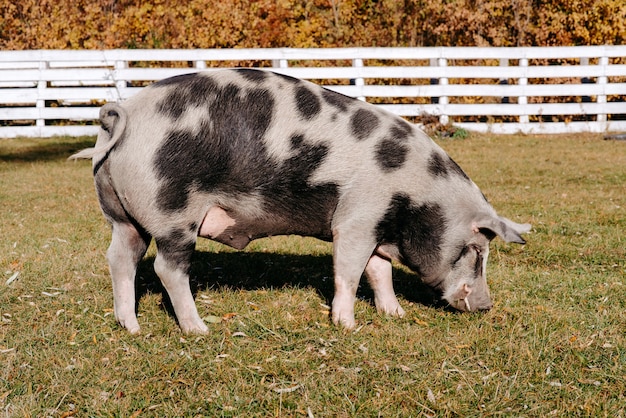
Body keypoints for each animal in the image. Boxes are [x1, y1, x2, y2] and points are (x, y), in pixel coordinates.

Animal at [69, 69, 528, 336]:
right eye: (476, 251)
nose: (486, 306)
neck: (415, 194)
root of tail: (122, 115)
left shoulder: (376, 226)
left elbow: (379, 272)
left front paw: (394, 315)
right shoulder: (355, 219)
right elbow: (349, 273)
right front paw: (347, 327)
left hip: (121, 215)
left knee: (120, 259)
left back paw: (130, 328)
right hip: (172, 211)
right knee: (167, 268)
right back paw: (199, 330)